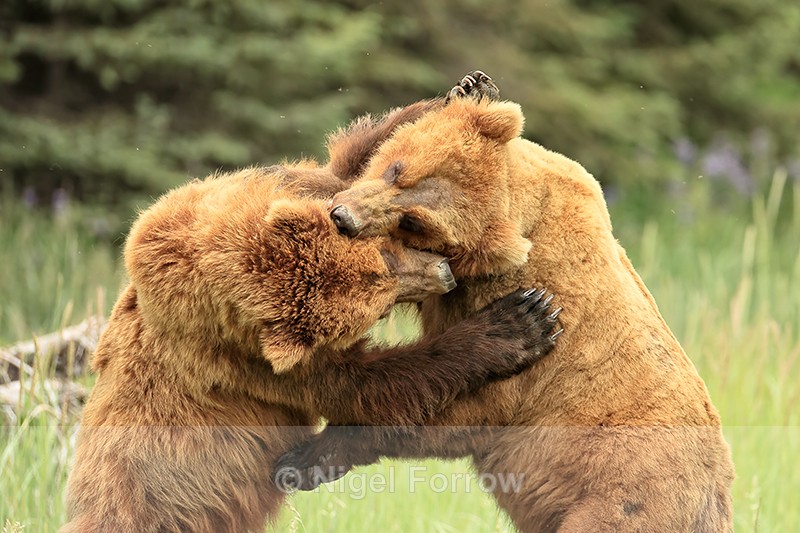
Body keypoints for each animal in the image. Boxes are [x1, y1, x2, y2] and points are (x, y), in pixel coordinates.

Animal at [61, 159, 563, 533]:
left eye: (386, 253)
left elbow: (338, 167)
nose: (444, 274)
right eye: (380, 307)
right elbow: (368, 386)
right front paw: (520, 322)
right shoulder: (248, 360)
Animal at [281, 74, 735, 532]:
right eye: (397, 170)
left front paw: (306, 458)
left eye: (414, 221)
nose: (344, 218)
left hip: (622, 501)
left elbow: (455, 409)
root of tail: (715, 501)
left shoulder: (528, 337)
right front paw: (468, 89)